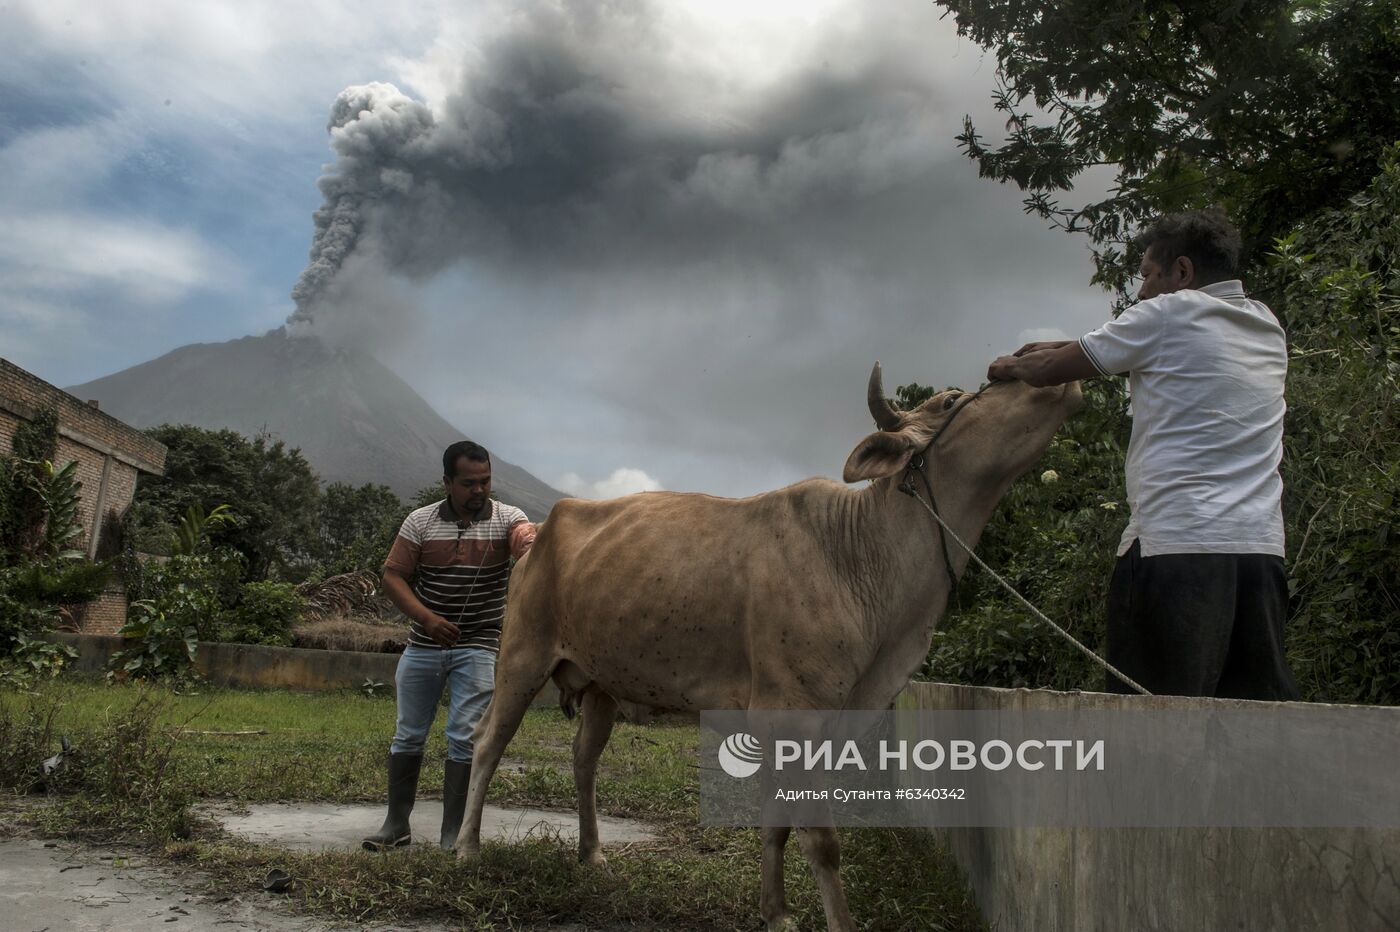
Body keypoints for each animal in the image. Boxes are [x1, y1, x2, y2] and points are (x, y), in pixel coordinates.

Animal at [459, 363, 1080, 929]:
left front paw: (776, 911)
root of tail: (538, 535)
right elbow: (822, 840)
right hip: (521, 657)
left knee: (584, 759)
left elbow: (778, 823)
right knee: (489, 741)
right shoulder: (795, 716)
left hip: (603, 685)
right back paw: (467, 849)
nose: (1047, 374)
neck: (861, 556)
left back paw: (591, 852)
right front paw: (835, 923)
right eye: (954, 399)